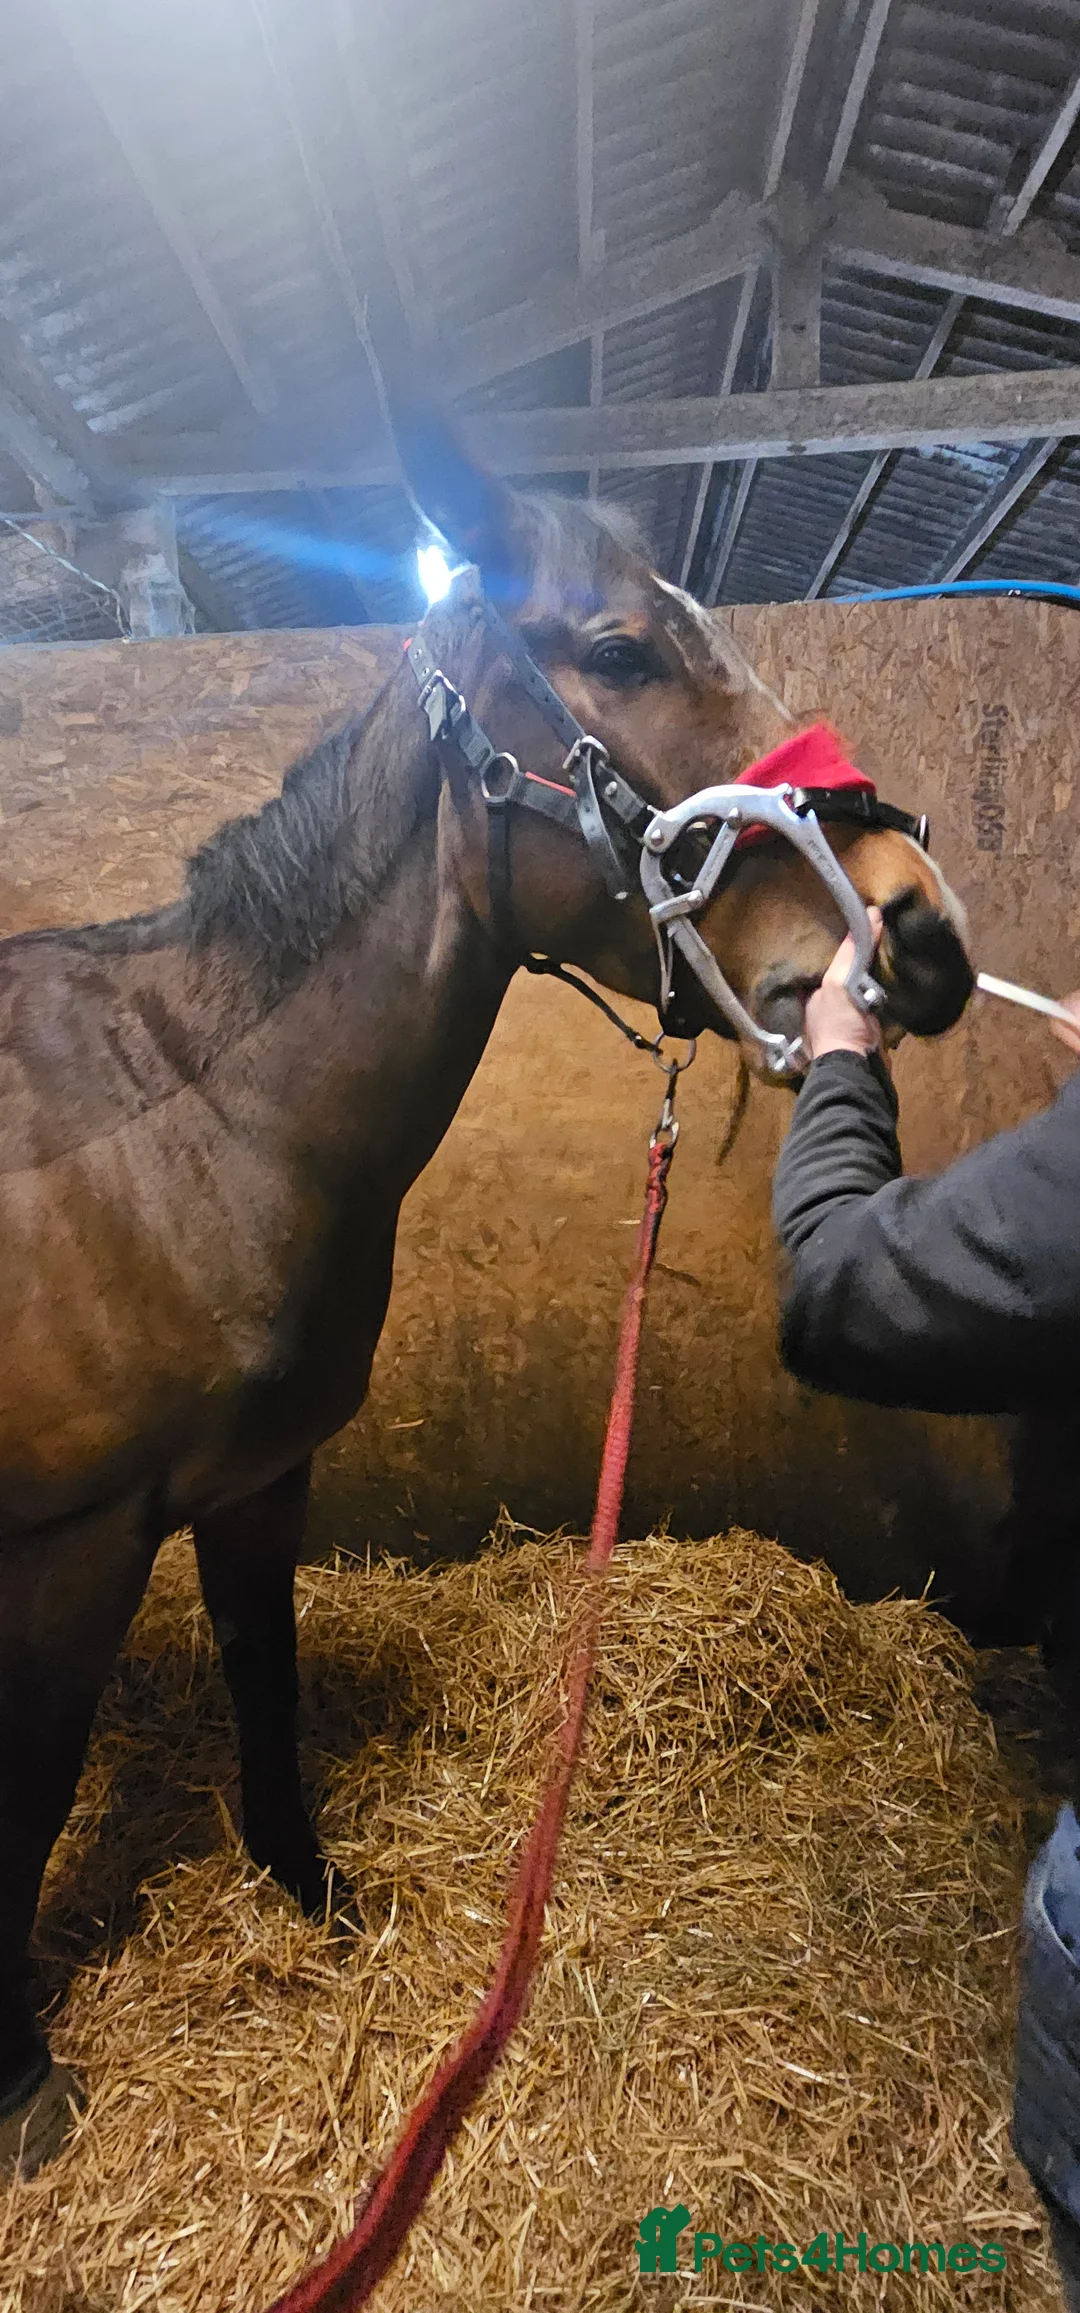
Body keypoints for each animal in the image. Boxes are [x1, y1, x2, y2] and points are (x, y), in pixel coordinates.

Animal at [0, 405, 973, 2172]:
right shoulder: (68, 1542)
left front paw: (313, 1900)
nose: (918, 936)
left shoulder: (257, 1481)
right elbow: (33, 1783)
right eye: (619, 647)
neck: (183, 1116)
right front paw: (21, 2079)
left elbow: (265, 1679)